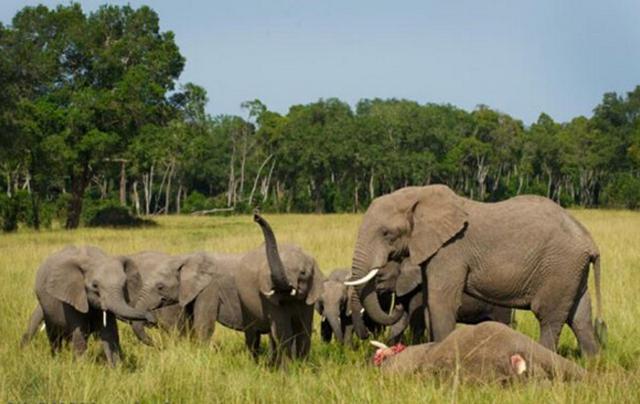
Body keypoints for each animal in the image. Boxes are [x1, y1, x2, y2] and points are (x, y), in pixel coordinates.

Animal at [350, 185, 604, 356]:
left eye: (386, 233)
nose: (368, 337)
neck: (421, 194)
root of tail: (590, 241)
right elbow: (430, 304)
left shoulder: (451, 250)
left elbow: (440, 302)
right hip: (573, 270)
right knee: (580, 318)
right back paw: (593, 363)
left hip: (559, 267)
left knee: (549, 318)